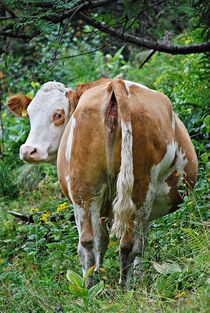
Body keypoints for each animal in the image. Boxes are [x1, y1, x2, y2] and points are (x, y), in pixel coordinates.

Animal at [6, 78, 197, 288]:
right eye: (30, 114)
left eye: (58, 114)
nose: (28, 150)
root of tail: (116, 84)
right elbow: (134, 242)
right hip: (139, 188)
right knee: (125, 243)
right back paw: (121, 287)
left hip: (85, 191)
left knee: (90, 244)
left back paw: (91, 286)